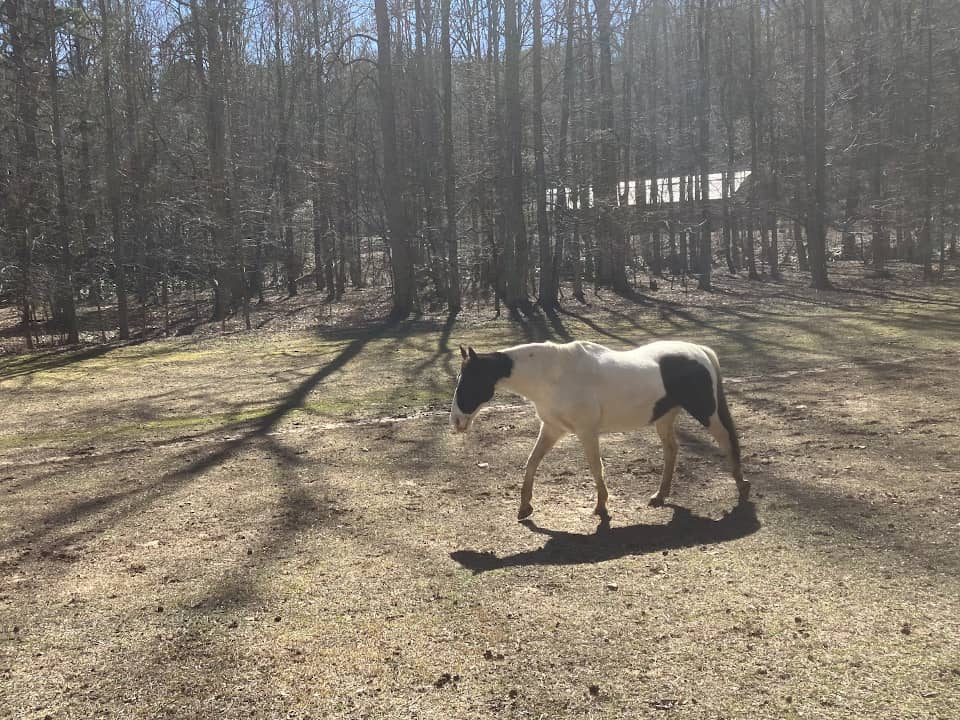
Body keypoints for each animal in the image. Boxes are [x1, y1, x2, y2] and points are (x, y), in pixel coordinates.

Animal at [450, 340, 752, 520]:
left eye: (469, 381)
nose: (456, 421)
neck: (553, 376)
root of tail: (700, 350)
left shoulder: (586, 432)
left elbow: (596, 467)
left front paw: (601, 506)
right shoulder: (552, 429)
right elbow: (532, 462)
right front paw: (525, 507)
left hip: (707, 413)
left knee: (727, 441)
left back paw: (742, 486)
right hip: (665, 418)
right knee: (671, 451)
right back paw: (660, 496)